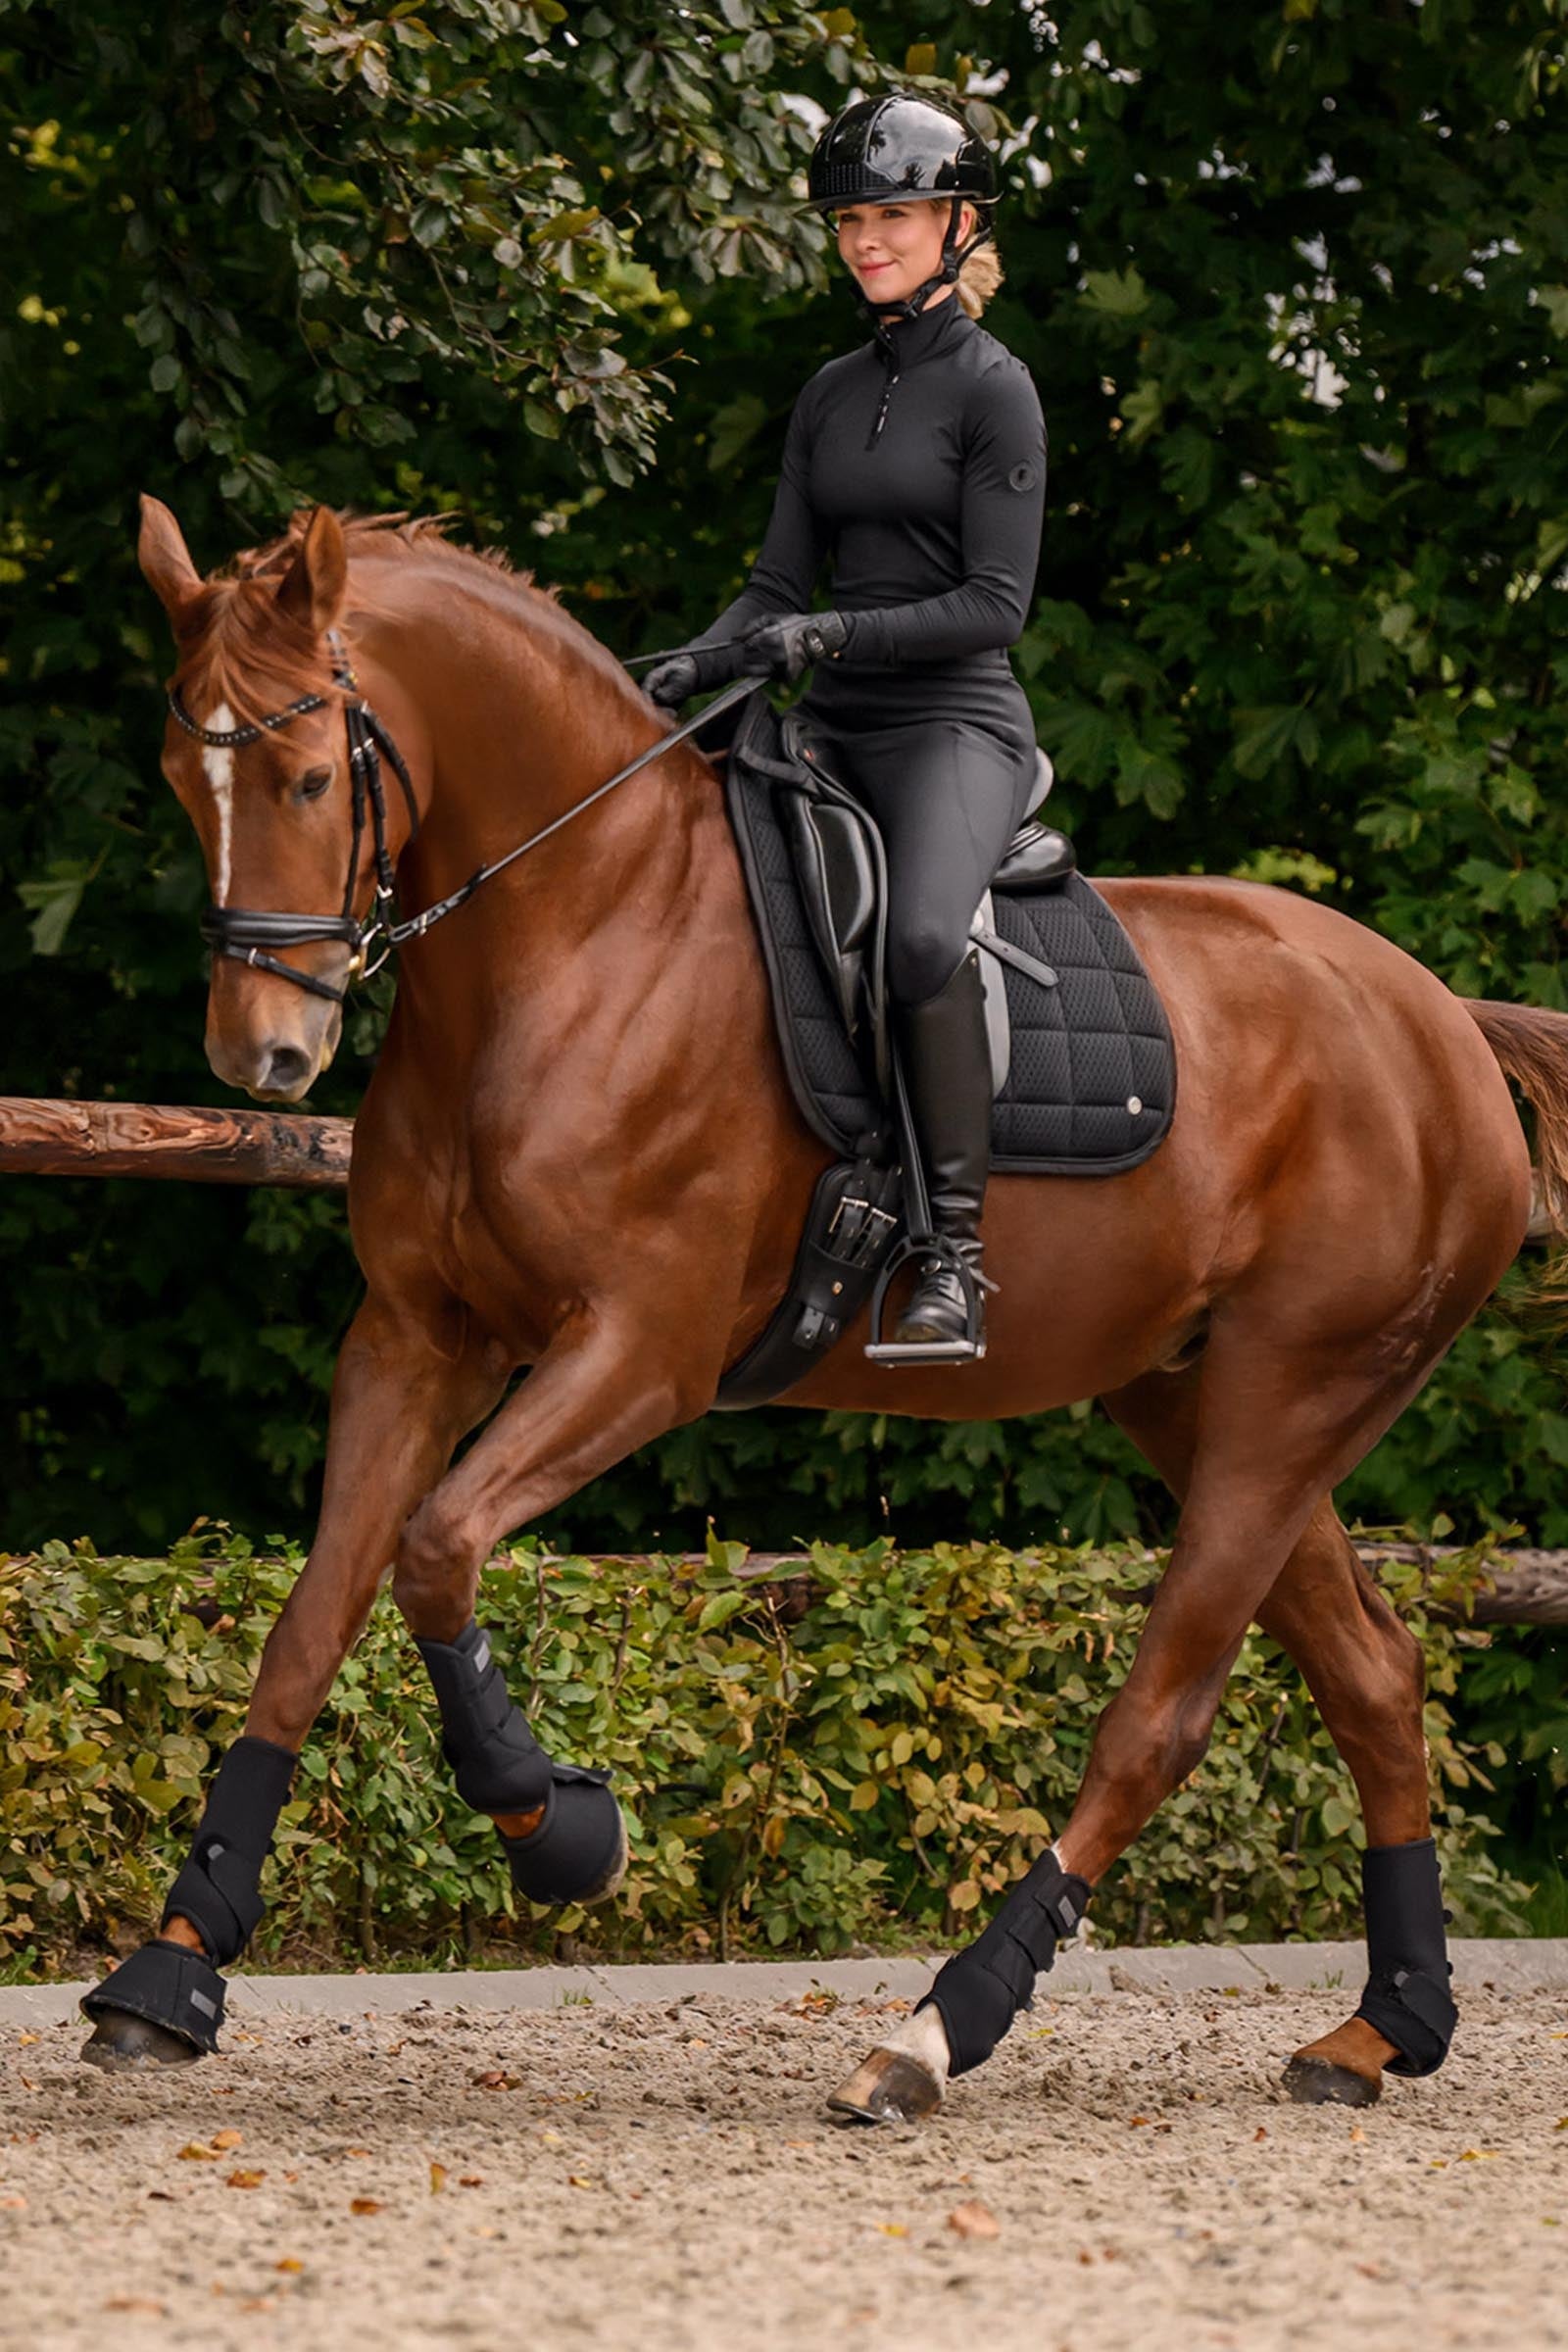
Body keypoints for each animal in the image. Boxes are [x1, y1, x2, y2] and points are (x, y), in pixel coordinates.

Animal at [83, 491, 1562, 2120]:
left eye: (300, 775)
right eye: (182, 781)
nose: (262, 1056)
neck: (576, 929)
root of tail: (1440, 1020)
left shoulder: (639, 1352)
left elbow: (437, 1550)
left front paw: (560, 1829)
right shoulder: (417, 1340)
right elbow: (313, 1619)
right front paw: (170, 1969)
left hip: (1288, 1399)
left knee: (1162, 1716)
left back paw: (934, 2030)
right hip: (1202, 1400)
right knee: (1373, 1672)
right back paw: (1385, 2025)